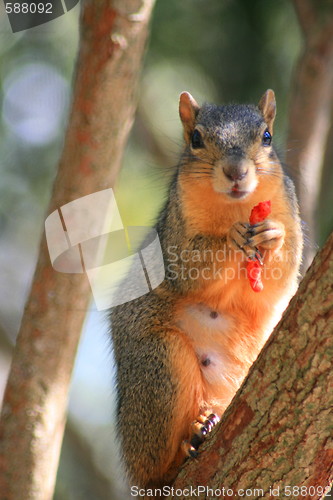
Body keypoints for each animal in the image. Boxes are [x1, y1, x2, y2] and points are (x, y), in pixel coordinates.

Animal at [110, 90, 302, 492]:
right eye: (196, 139)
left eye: (266, 137)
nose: (235, 172)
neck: (236, 208)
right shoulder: (173, 238)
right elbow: (188, 268)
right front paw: (230, 239)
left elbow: (278, 279)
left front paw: (272, 235)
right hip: (159, 365)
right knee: (156, 467)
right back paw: (190, 440)